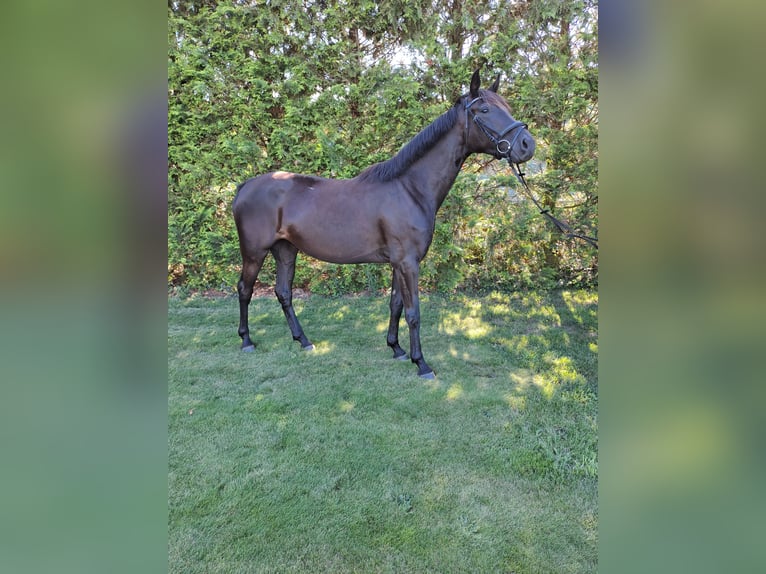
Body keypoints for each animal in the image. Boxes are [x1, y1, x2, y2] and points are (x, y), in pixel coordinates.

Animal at [231, 70, 536, 380]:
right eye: (484, 110)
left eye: (507, 107)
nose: (527, 145)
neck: (409, 189)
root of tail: (245, 187)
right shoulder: (408, 263)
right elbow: (413, 313)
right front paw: (421, 364)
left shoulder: (399, 263)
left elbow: (396, 305)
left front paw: (397, 349)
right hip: (254, 252)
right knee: (245, 289)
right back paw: (246, 340)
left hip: (285, 250)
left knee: (283, 293)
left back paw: (303, 341)